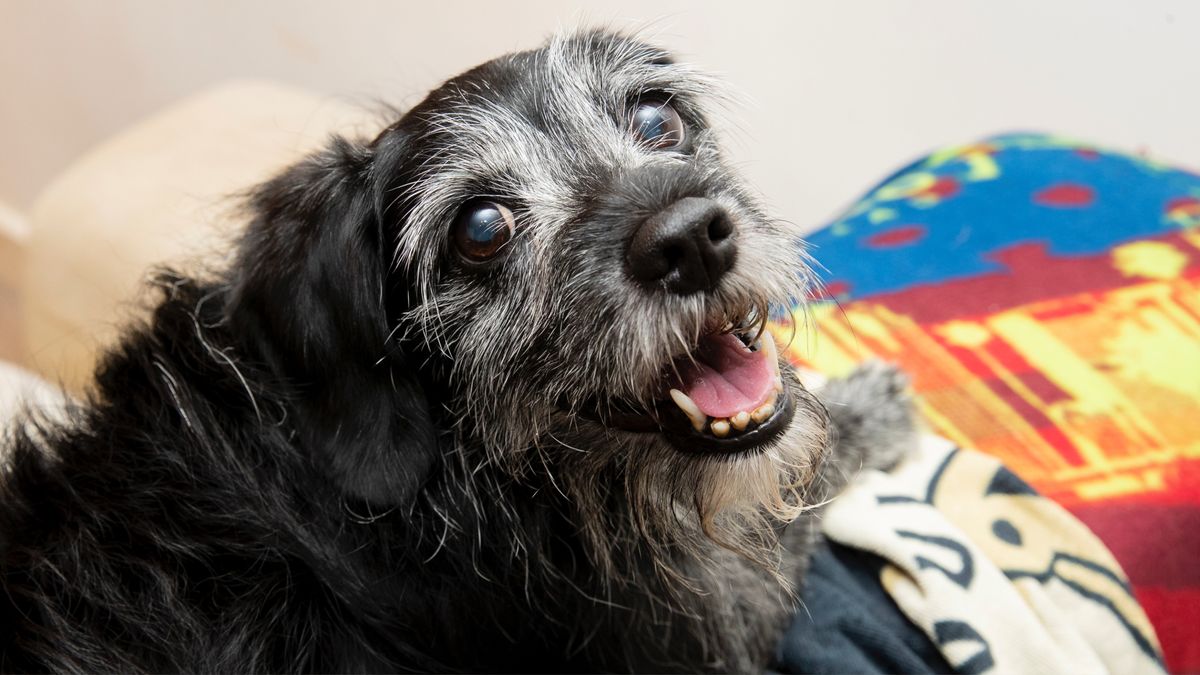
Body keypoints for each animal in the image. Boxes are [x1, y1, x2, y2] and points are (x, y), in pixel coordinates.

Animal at [0, 28, 907, 667]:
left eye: (658, 117)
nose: (690, 238)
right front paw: (873, 403)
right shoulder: (711, 622)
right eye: (480, 228)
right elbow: (796, 498)